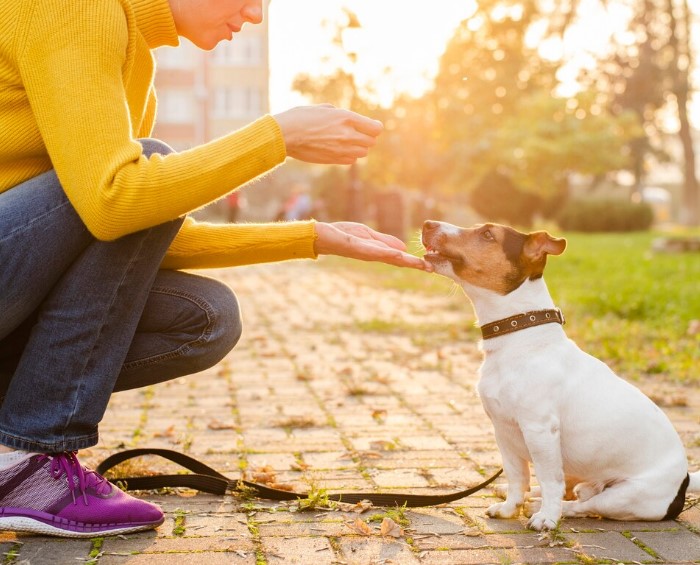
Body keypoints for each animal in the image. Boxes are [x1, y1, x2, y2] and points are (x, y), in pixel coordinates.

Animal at [422, 219, 700, 528]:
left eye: (487, 234)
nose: (428, 223)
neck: (519, 337)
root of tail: (685, 481)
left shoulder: (540, 430)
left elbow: (549, 479)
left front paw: (547, 517)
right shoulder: (503, 431)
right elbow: (517, 476)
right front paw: (509, 508)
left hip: (626, 497)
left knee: (584, 504)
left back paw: (547, 508)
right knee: (573, 491)